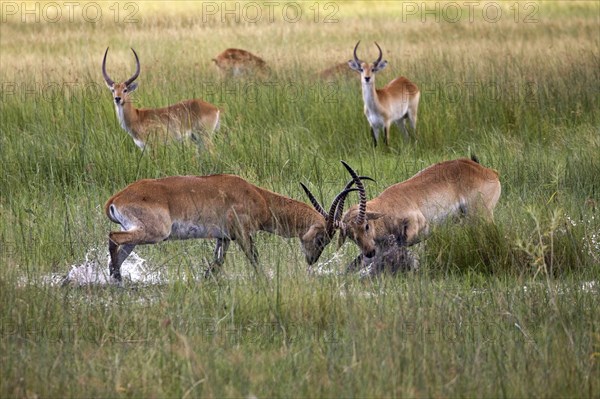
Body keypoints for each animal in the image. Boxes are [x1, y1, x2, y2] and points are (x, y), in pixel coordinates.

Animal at [105, 174, 356, 282]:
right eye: (322, 238)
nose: (312, 261)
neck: (259, 197)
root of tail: (117, 197)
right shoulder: (242, 234)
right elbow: (254, 258)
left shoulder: (224, 237)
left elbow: (217, 262)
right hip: (154, 233)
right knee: (113, 237)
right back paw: (117, 279)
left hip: (137, 235)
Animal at [338, 158, 502, 270]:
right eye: (351, 235)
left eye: (366, 226)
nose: (369, 252)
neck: (387, 206)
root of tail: (489, 171)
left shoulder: (417, 225)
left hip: (482, 216)